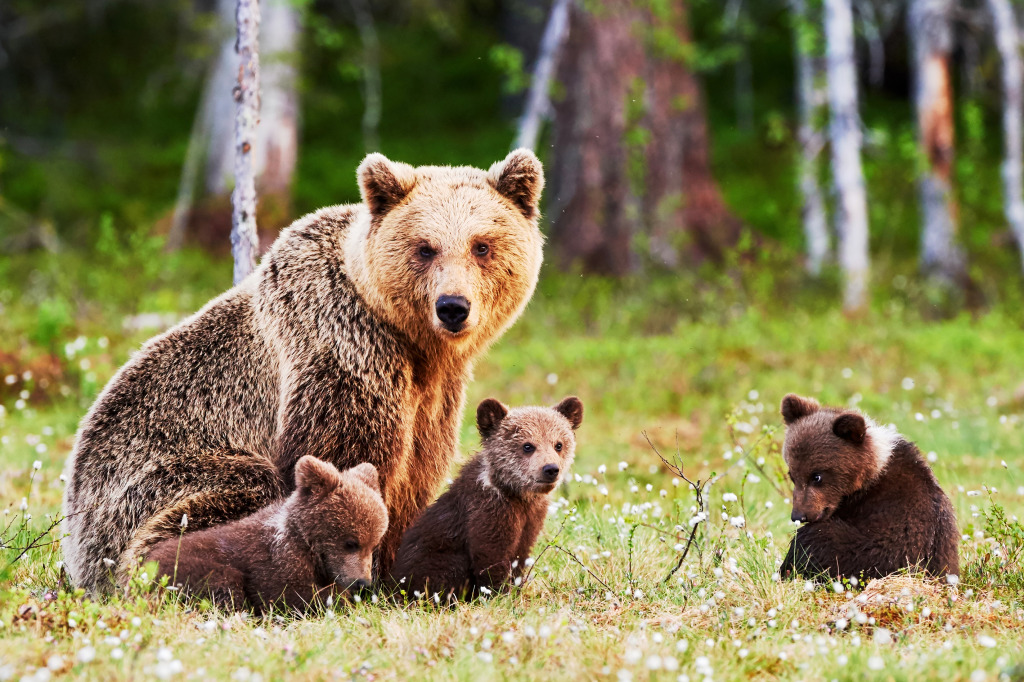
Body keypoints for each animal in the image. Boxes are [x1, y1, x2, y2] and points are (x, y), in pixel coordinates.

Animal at [60, 148, 548, 589]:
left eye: (482, 245)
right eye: (425, 248)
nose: (452, 307)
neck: (410, 341)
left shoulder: (435, 394)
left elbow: (416, 474)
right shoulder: (342, 351)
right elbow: (344, 461)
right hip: (152, 482)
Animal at [387, 395, 581, 598]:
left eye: (558, 444)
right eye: (528, 446)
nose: (551, 469)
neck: (516, 494)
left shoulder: (531, 519)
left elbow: (520, 556)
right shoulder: (489, 513)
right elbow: (490, 557)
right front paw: (499, 593)